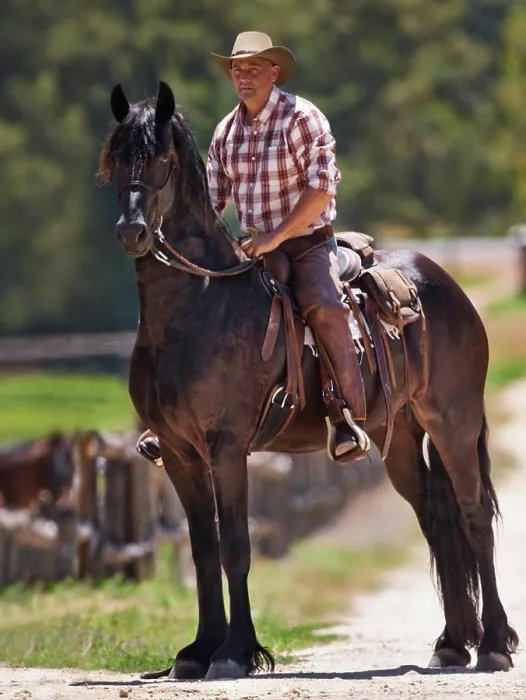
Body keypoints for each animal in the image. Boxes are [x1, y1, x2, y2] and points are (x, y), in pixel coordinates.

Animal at [97, 80, 518, 680]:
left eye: (161, 159)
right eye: (115, 156)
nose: (131, 232)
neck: (200, 307)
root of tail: (445, 284)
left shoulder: (227, 448)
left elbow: (236, 546)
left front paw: (235, 652)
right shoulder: (179, 454)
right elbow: (202, 549)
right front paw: (196, 651)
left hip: (454, 423)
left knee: (474, 514)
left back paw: (494, 646)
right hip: (401, 441)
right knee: (437, 520)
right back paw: (453, 644)